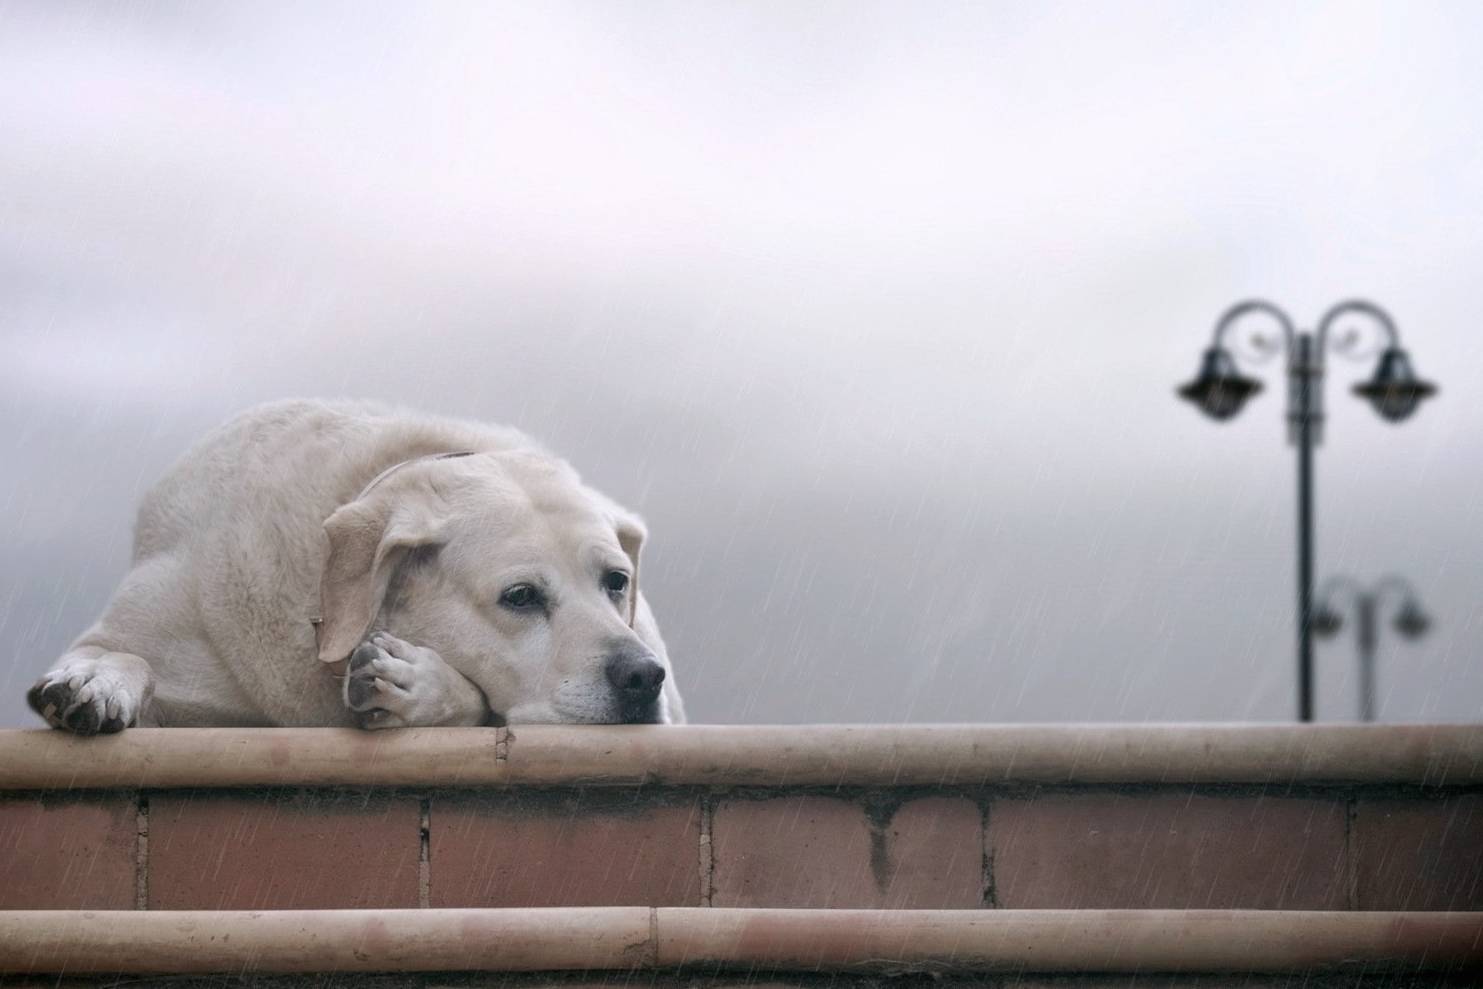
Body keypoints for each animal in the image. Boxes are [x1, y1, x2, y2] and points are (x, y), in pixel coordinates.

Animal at [24, 400, 682, 735]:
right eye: (520, 596)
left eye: (616, 582)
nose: (641, 677)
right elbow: (120, 652)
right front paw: (95, 681)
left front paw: (415, 684)